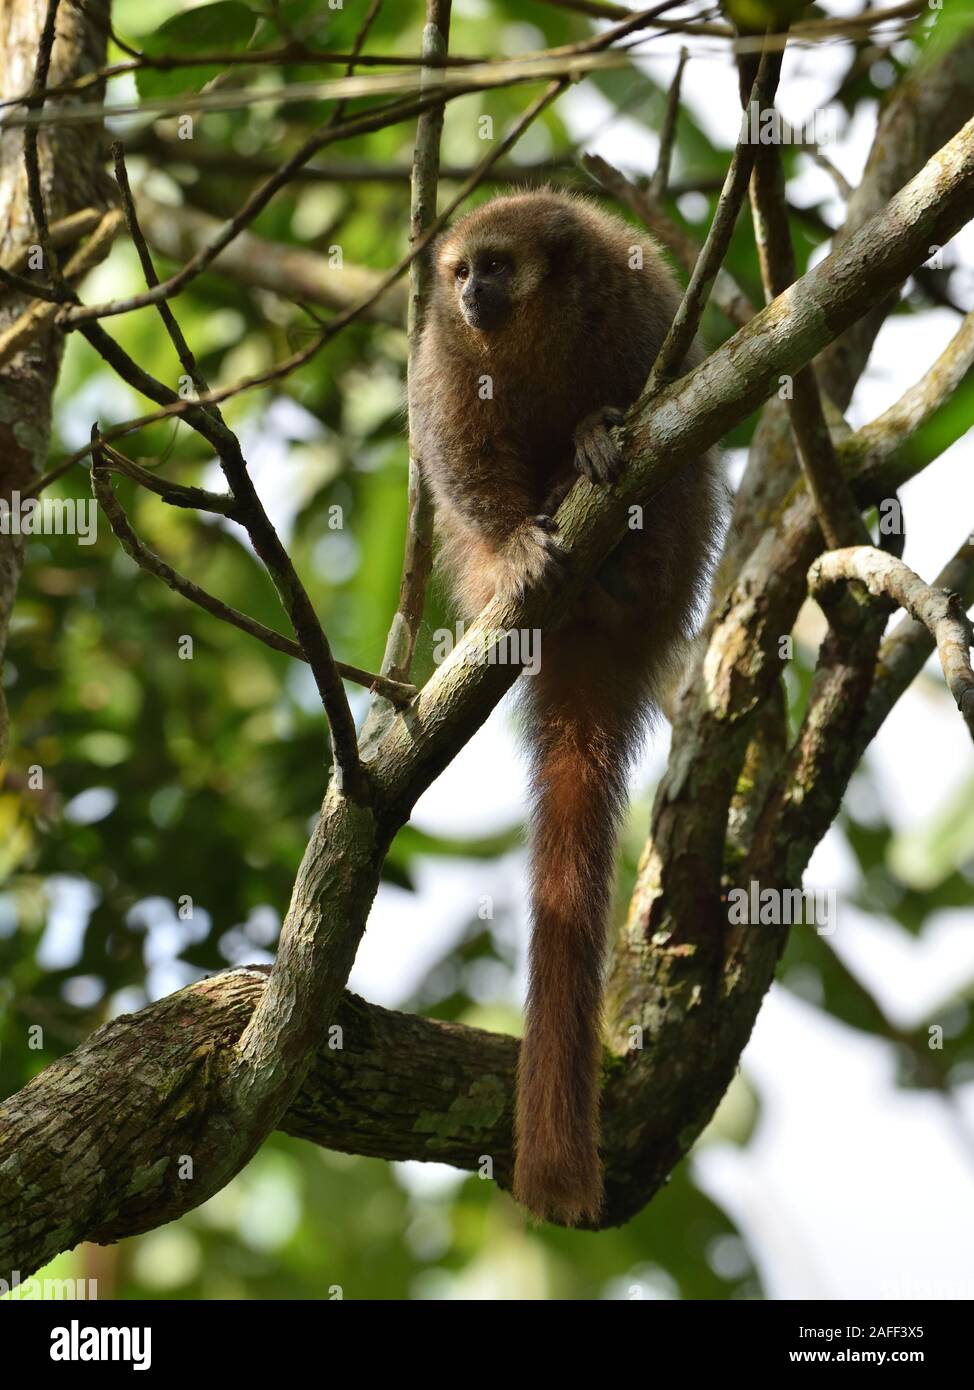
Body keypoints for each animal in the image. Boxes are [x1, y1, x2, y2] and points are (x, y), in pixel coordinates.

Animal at [411, 190, 722, 1223]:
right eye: (460, 271)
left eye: (497, 266)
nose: (471, 292)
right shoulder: (441, 352)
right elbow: (455, 459)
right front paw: (516, 540)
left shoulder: (643, 305)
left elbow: (686, 397)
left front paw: (594, 427)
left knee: (684, 488)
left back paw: (616, 554)